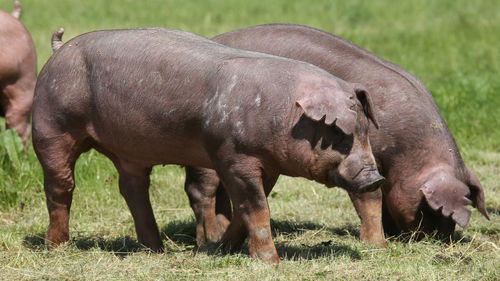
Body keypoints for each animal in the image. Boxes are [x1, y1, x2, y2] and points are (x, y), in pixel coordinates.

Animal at [35, 27, 384, 262]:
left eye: (366, 130)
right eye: (339, 135)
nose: (375, 177)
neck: (283, 113)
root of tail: (59, 48)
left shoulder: (268, 164)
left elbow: (246, 209)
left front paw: (222, 249)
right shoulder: (233, 155)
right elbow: (255, 206)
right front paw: (271, 263)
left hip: (127, 154)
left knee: (133, 189)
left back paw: (156, 251)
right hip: (51, 124)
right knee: (60, 185)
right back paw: (57, 248)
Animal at [181, 24, 488, 247]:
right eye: (431, 209)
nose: (441, 241)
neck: (408, 153)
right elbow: (369, 197)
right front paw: (375, 243)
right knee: (201, 190)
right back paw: (209, 239)